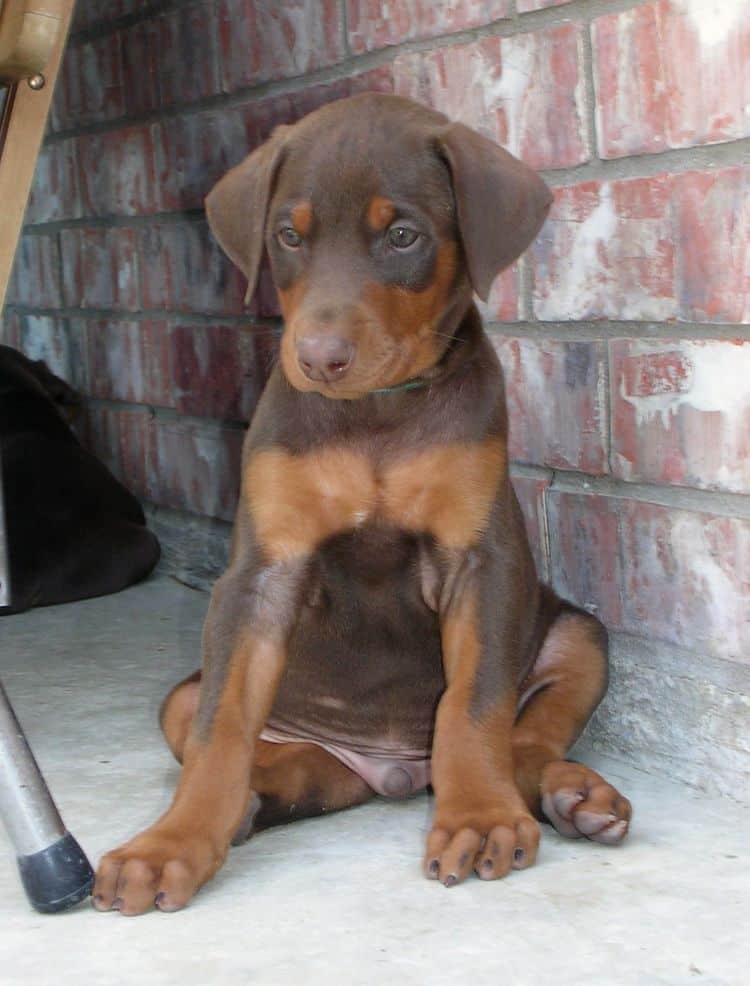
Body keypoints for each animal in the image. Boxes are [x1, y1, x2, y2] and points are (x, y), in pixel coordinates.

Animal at [95, 94, 636, 916]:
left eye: (403, 235)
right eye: (288, 236)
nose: (319, 360)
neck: (377, 413)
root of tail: (393, 770)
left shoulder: (483, 562)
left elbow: (473, 704)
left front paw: (479, 815)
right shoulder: (261, 573)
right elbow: (221, 727)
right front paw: (171, 844)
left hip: (580, 635)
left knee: (526, 737)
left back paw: (569, 794)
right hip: (196, 704)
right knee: (277, 758)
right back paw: (253, 798)